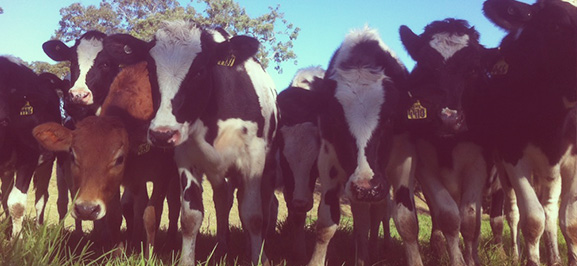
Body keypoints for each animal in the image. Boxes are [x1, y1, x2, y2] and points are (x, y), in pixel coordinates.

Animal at [0, 55, 64, 237]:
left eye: (3, 121)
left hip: (47, 163)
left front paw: (17, 240)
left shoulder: (29, 159)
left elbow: (17, 204)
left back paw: (38, 228)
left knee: (41, 197)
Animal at [102, 21, 282, 264]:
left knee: (264, 204)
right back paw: (222, 246)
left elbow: (253, 216)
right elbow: (190, 217)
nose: (162, 133)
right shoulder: (186, 159)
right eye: (150, 69)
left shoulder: (252, 159)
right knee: (222, 200)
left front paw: (258, 258)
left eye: (199, 71)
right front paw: (187, 259)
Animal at [306, 26, 424, 266]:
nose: (367, 187)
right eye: (335, 120)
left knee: (381, 211)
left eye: (390, 118)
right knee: (363, 219)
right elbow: (326, 224)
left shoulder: (405, 160)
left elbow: (406, 223)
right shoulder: (328, 162)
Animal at [476, 1, 576, 264]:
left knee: (551, 210)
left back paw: (555, 257)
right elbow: (531, 219)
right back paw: (515, 253)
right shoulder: (512, 157)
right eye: (555, 25)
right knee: (514, 213)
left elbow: (569, 220)